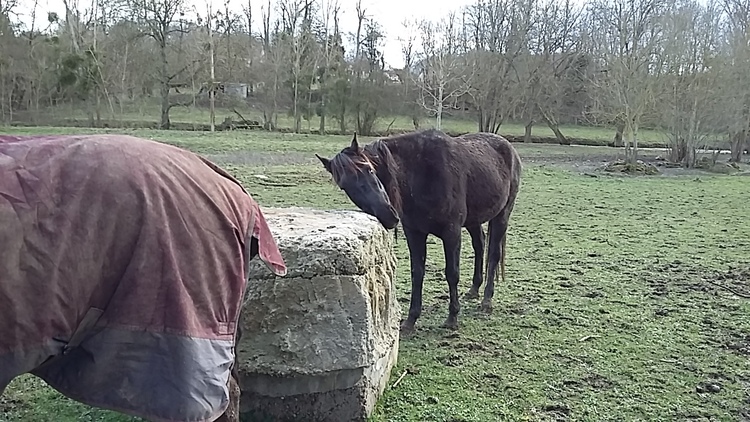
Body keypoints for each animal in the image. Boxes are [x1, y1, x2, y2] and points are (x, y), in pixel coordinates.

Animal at [318, 129, 524, 332]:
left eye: (369, 169)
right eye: (345, 186)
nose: (388, 215)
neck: (420, 175)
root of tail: (508, 147)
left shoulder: (451, 232)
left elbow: (452, 273)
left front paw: (452, 317)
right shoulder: (414, 233)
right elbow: (417, 273)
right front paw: (411, 320)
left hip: (502, 215)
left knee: (493, 254)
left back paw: (487, 301)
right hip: (473, 220)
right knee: (479, 245)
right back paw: (474, 290)